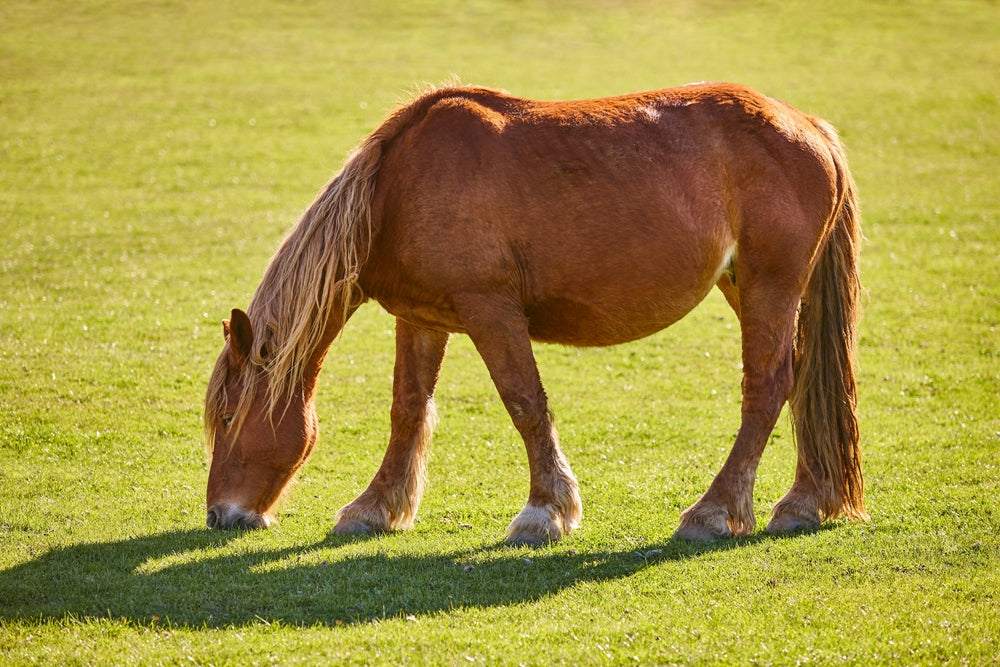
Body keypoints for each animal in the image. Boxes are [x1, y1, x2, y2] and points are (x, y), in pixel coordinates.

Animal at [204, 82, 867, 544]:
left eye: (231, 416)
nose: (219, 515)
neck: (395, 191)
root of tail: (809, 127)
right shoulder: (421, 319)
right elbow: (408, 409)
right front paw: (374, 508)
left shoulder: (489, 309)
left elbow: (523, 401)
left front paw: (544, 512)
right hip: (748, 286)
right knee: (802, 380)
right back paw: (804, 502)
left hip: (769, 285)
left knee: (768, 387)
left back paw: (715, 512)